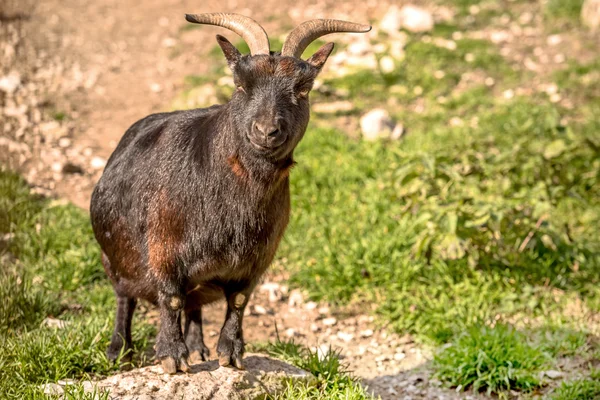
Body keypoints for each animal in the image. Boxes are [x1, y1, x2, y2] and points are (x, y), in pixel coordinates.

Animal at [89, 13, 370, 376]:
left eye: (303, 89)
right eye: (240, 85)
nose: (266, 131)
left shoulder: (256, 259)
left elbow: (237, 301)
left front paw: (231, 353)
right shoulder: (164, 249)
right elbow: (170, 298)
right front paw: (171, 357)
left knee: (193, 306)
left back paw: (199, 348)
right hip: (113, 260)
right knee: (127, 298)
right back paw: (119, 352)